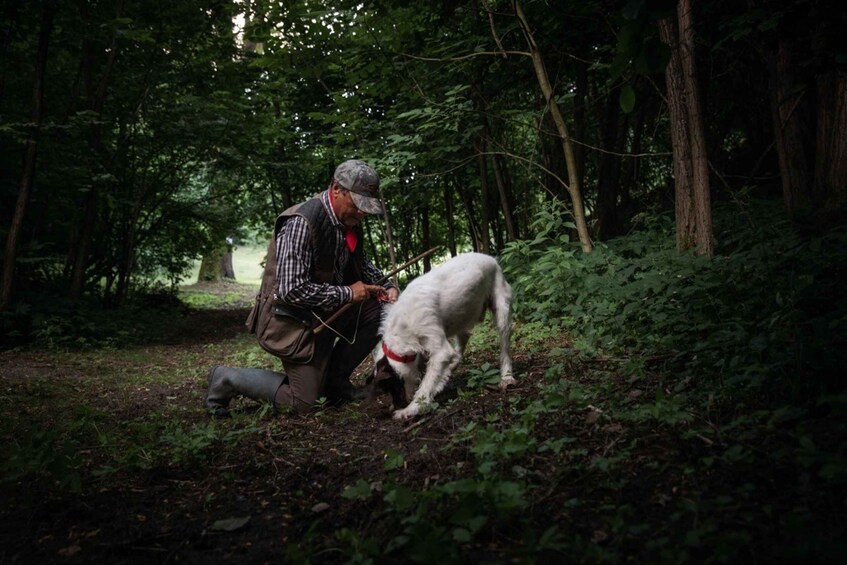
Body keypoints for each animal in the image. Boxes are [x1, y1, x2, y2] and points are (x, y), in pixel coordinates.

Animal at [372, 251, 516, 418]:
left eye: (391, 385)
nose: (395, 406)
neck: (402, 326)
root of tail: (491, 258)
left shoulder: (440, 350)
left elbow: (427, 383)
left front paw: (412, 409)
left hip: (502, 310)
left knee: (505, 346)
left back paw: (507, 377)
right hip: (462, 316)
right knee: (463, 339)